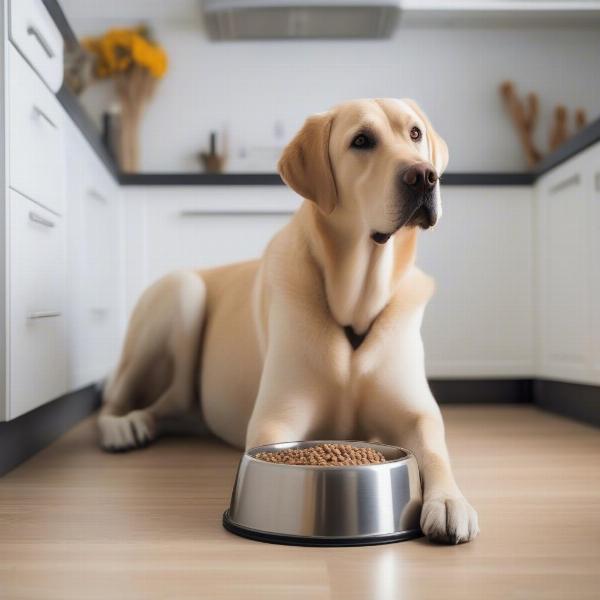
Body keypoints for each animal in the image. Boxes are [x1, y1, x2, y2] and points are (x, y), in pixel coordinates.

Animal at [101, 97, 480, 544]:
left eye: (415, 134)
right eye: (361, 141)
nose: (423, 176)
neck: (355, 305)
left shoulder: (417, 413)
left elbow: (435, 449)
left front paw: (449, 500)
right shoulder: (277, 418)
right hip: (182, 292)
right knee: (122, 399)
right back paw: (122, 427)